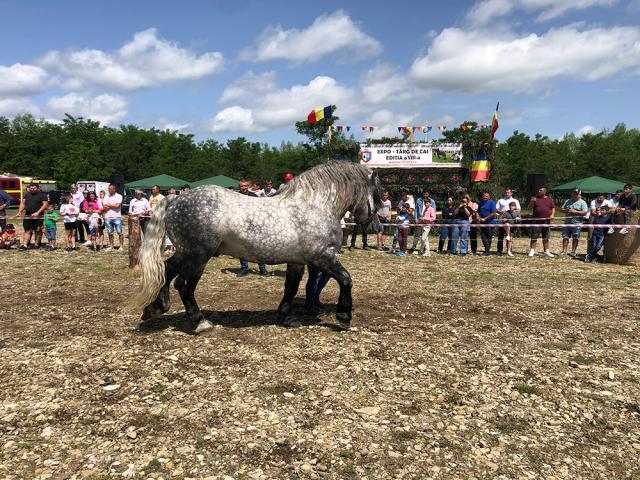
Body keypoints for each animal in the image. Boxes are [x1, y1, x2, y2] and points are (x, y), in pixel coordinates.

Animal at [132, 161, 382, 334]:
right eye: (378, 192)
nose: (373, 224)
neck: (315, 205)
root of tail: (175, 200)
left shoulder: (297, 261)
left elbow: (291, 287)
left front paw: (287, 317)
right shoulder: (322, 257)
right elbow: (346, 279)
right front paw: (344, 316)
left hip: (187, 253)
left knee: (166, 271)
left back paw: (156, 307)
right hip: (198, 256)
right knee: (183, 285)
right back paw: (200, 322)